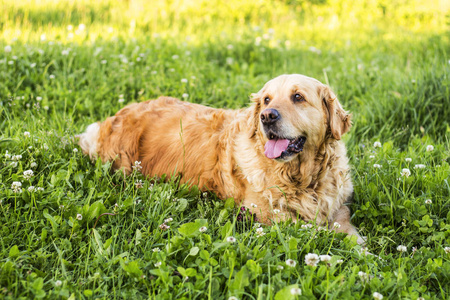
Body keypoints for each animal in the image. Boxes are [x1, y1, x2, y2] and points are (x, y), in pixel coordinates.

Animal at [79, 74, 364, 244]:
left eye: (298, 97)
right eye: (266, 99)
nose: (267, 116)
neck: (302, 177)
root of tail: (113, 117)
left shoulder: (338, 205)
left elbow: (346, 227)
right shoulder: (266, 215)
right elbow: (316, 230)